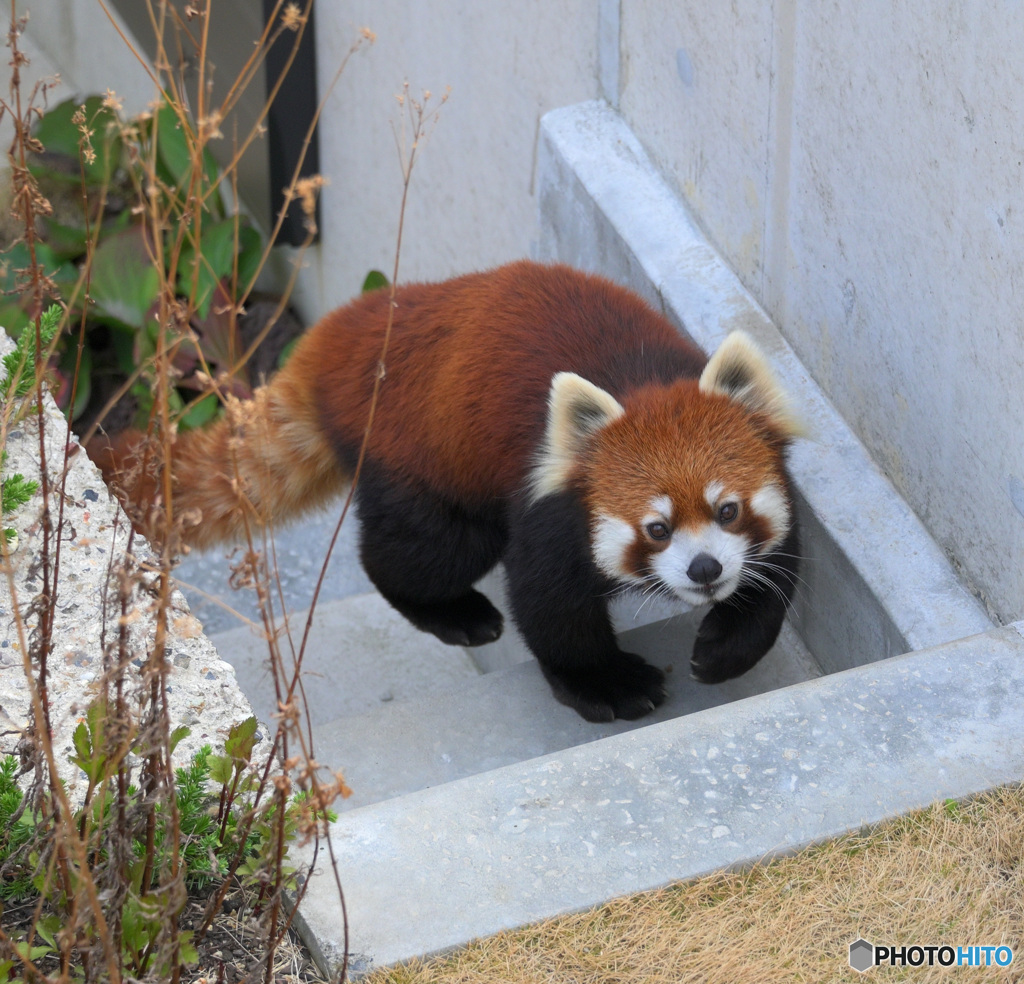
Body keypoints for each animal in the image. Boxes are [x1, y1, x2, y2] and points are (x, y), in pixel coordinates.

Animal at [94, 261, 798, 720]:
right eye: (656, 528)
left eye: (727, 510)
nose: (705, 569)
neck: (642, 377)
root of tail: (344, 334)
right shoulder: (547, 505)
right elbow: (550, 605)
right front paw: (604, 682)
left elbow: (781, 573)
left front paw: (728, 648)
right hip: (423, 460)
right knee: (419, 554)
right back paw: (451, 611)